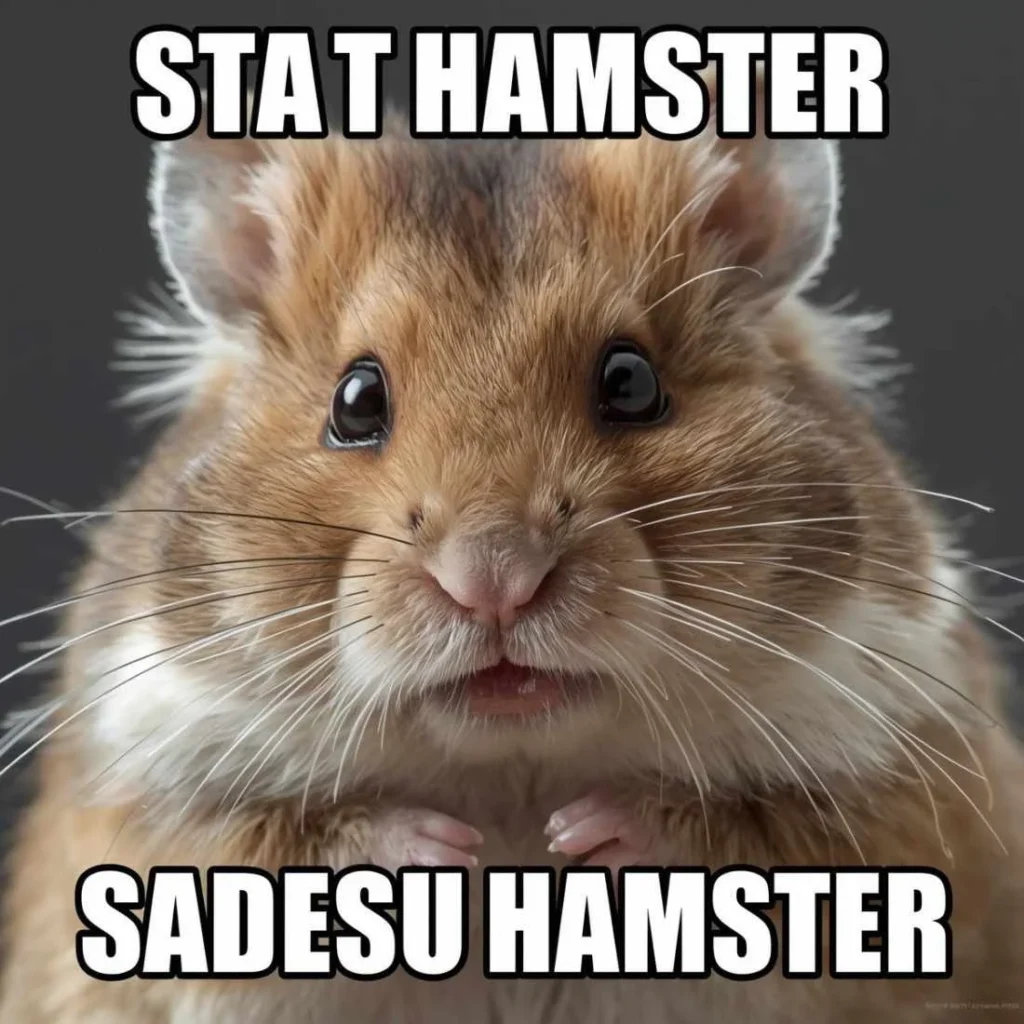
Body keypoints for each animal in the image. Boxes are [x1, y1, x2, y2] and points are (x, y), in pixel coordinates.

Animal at [2, 74, 1023, 1023]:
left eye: (631, 381)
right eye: (355, 400)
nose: (493, 582)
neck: (515, 766)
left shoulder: (919, 788)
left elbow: (750, 833)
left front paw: (588, 833)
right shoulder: (131, 807)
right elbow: (289, 839)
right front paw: (444, 848)